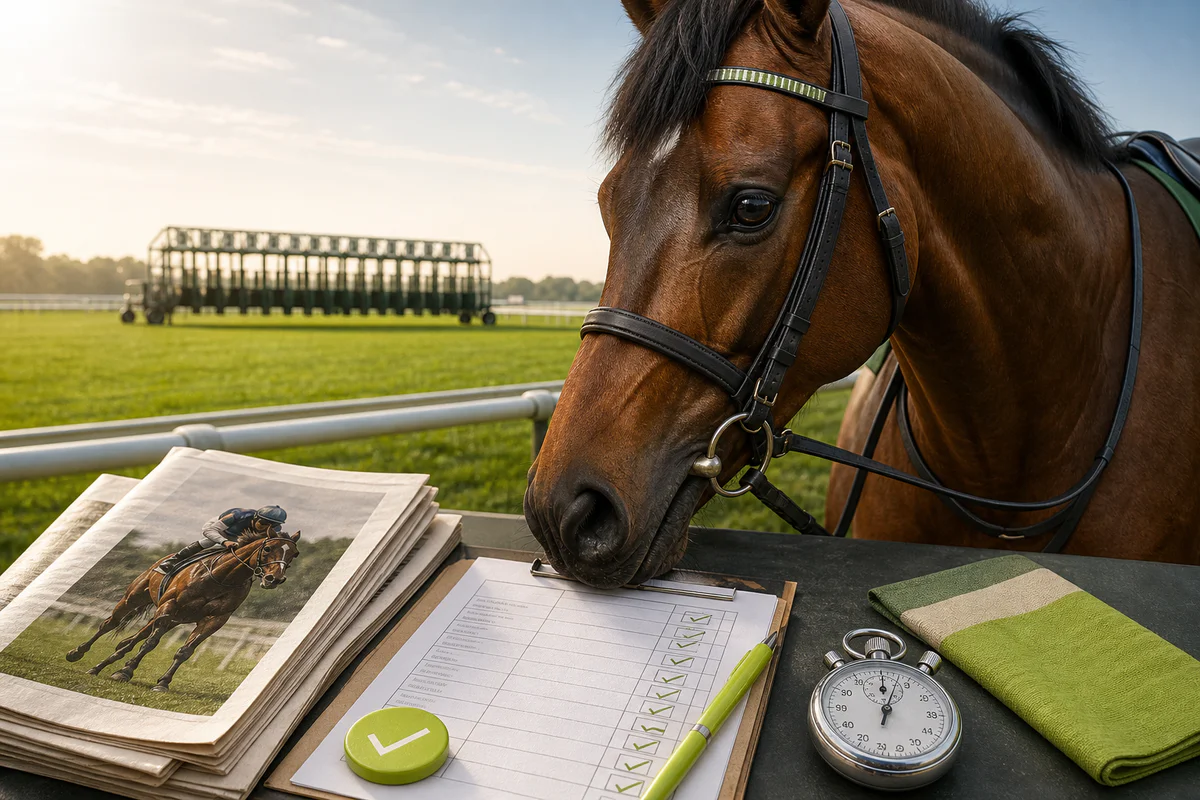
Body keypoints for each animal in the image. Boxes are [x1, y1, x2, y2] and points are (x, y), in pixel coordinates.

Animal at [64, 533, 301, 692]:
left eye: (295, 554)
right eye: (268, 549)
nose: (274, 579)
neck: (221, 577)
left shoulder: (213, 620)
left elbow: (185, 651)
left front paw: (162, 683)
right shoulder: (170, 606)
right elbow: (150, 643)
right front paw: (125, 671)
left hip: (173, 619)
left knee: (131, 639)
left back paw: (105, 662)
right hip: (135, 599)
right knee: (110, 624)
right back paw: (78, 654)